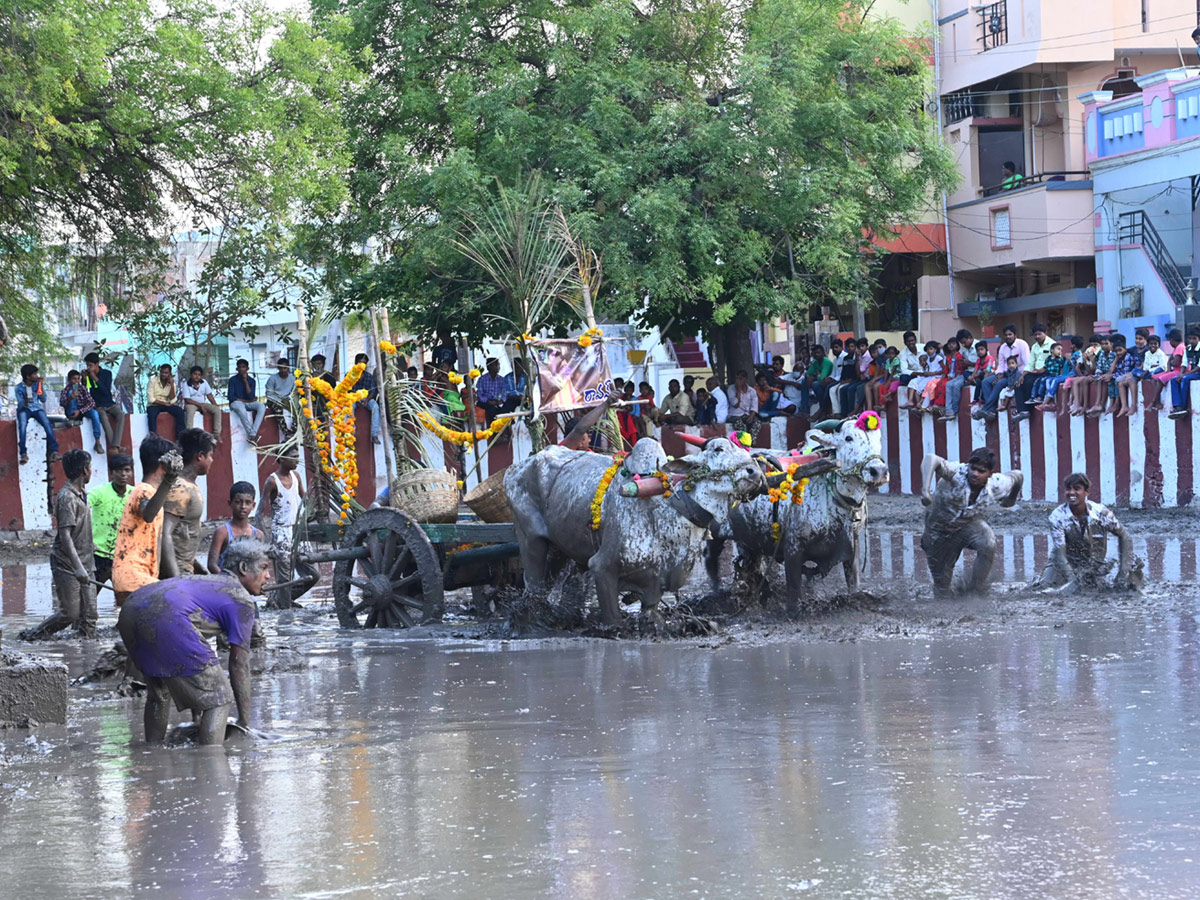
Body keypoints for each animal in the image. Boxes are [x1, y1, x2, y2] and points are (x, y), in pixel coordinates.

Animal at [504, 439, 763, 628]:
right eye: (719, 448)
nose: (756, 473)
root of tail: (515, 468)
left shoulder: (655, 584)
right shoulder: (602, 567)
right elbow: (614, 622)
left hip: (560, 550)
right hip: (531, 541)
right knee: (532, 586)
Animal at [700, 415, 892, 614]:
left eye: (879, 439)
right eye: (848, 438)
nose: (879, 471)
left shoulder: (851, 547)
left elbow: (853, 583)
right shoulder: (793, 548)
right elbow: (794, 590)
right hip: (714, 535)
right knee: (710, 562)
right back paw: (715, 596)